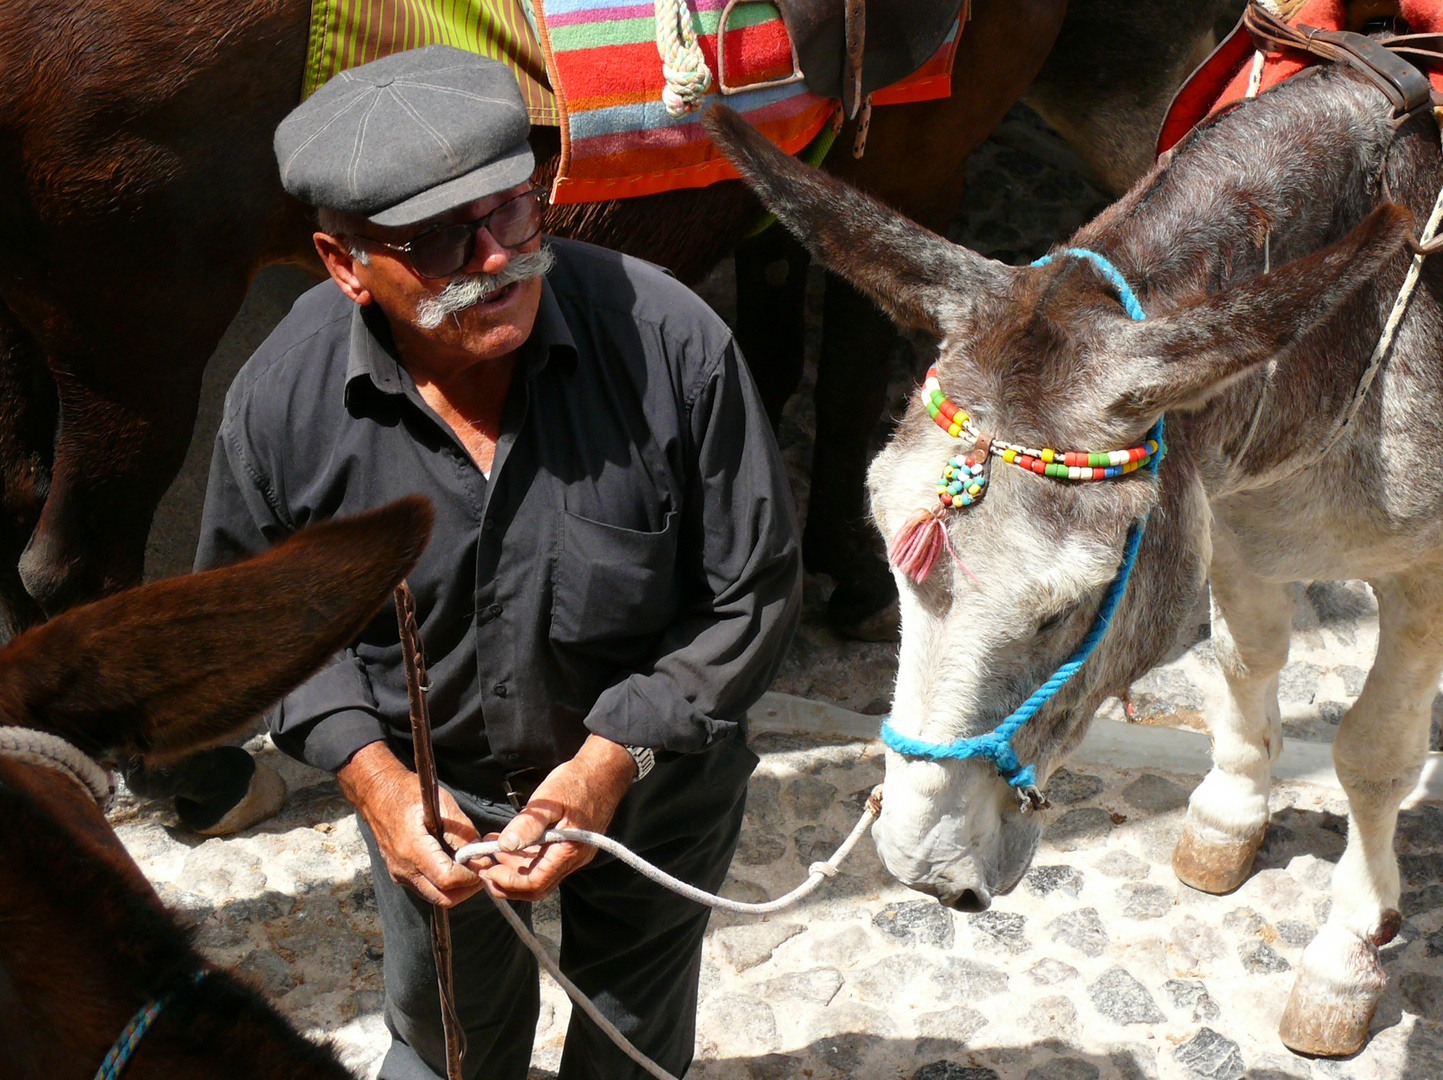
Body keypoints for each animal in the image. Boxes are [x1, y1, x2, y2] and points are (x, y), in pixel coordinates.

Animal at [0, 0, 1240, 641]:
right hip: (141, 321)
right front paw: (853, 577)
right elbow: (854, 391)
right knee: (76, 561)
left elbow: (774, 357)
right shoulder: (915, 168)